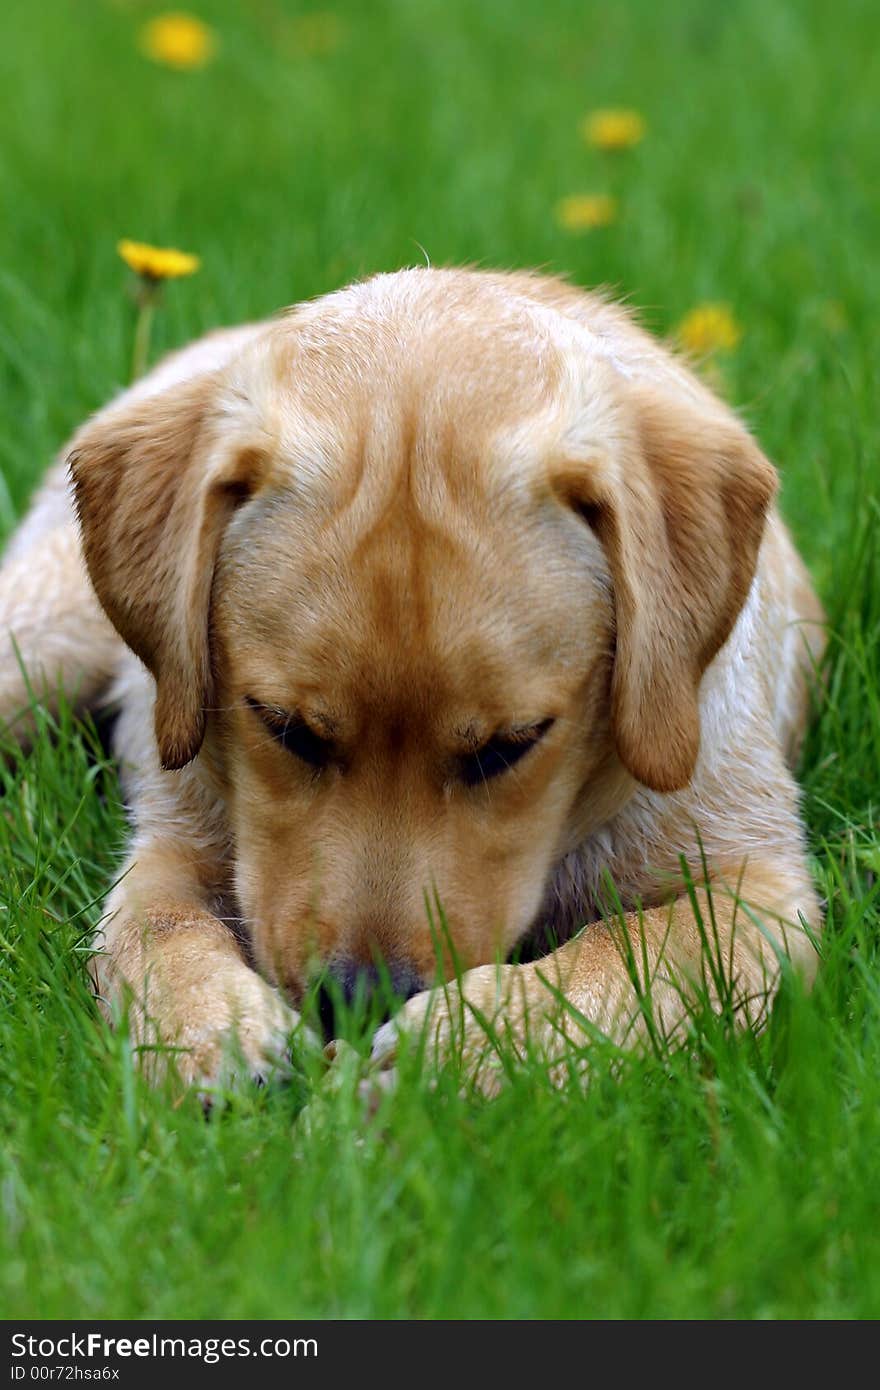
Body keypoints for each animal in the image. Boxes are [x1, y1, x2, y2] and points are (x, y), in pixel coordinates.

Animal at [0, 268, 823, 1095]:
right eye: (284, 728)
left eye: (510, 746)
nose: (361, 1003)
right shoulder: (168, 847)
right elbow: (158, 929)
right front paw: (212, 1032)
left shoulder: (764, 893)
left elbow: (639, 950)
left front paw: (467, 1048)